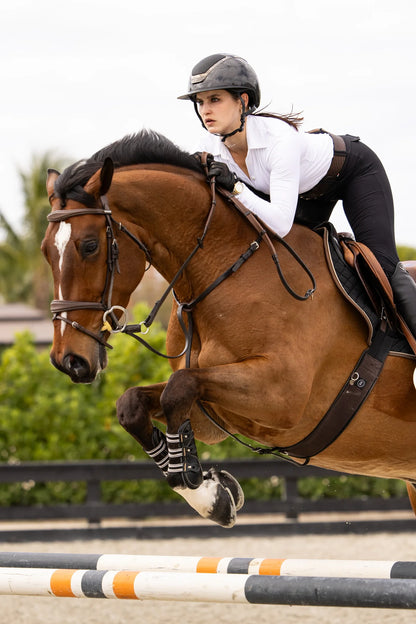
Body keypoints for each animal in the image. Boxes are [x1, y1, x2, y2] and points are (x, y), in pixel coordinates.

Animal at [41, 130, 416, 528]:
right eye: (46, 250)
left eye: (89, 246)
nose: (69, 360)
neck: (225, 271)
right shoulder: (213, 415)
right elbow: (135, 403)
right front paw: (212, 492)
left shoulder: (282, 397)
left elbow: (178, 389)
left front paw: (205, 488)